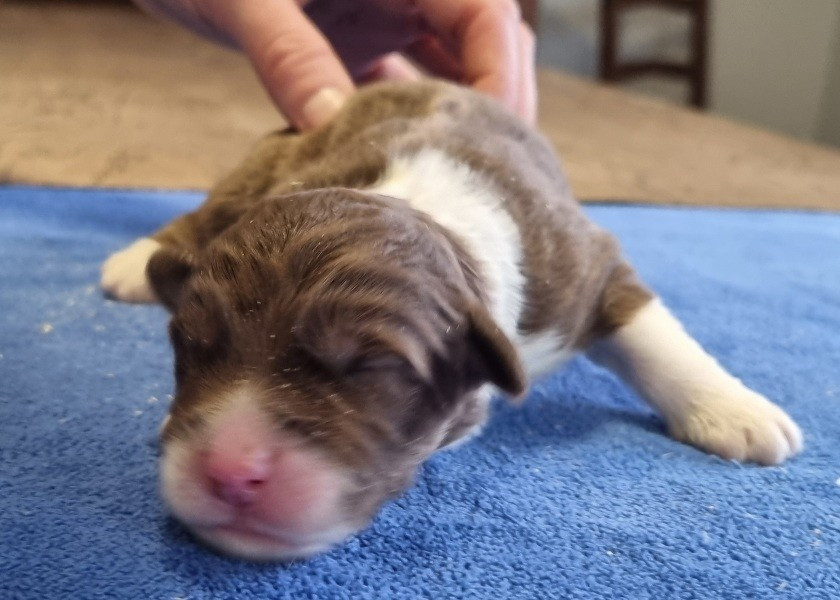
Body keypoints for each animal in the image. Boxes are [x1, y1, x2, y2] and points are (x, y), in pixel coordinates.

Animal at [101, 81, 802, 561]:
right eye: (191, 346)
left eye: (372, 365)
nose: (230, 472)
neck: (418, 201)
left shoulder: (583, 268)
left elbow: (651, 333)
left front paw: (735, 411)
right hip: (270, 160)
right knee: (213, 205)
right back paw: (141, 262)